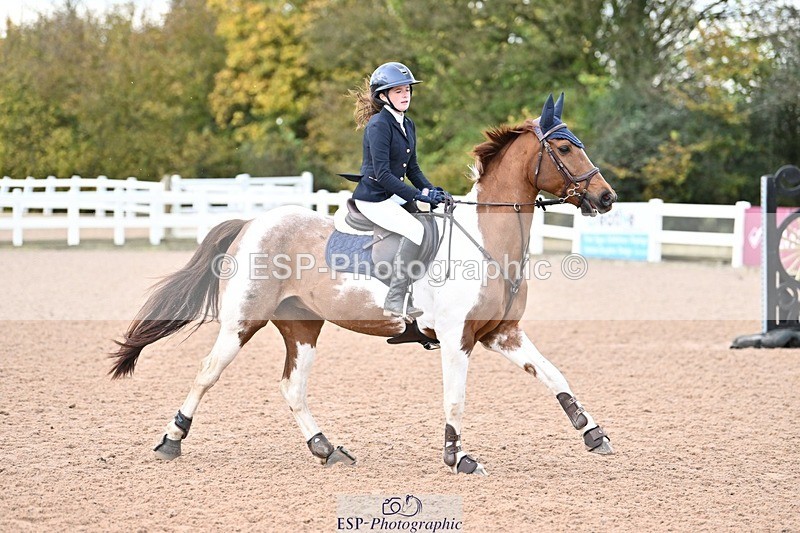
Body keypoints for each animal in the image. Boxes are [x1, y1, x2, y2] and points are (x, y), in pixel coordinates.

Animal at [111, 93, 618, 475]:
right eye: (566, 149)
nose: (606, 197)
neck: (487, 240)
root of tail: (252, 222)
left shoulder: (502, 334)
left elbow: (554, 375)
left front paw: (593, 433)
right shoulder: (457, 338)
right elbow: (455, 399)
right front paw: (458, 457)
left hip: (302, 327)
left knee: (292, 387)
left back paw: (326, 448)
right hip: (242, 321)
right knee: (207, 372)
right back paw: (171, 440)